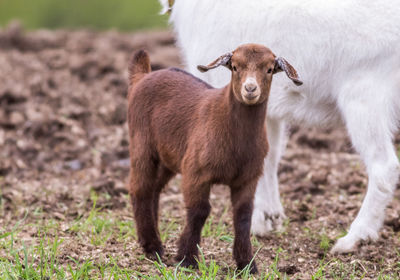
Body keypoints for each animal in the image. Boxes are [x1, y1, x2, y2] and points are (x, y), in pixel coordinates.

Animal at [159, 0, 400, 254]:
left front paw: (256, 225)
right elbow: (268, 156)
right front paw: (270, 219)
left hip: (364, 97)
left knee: (384, 166)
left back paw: (353, 239)